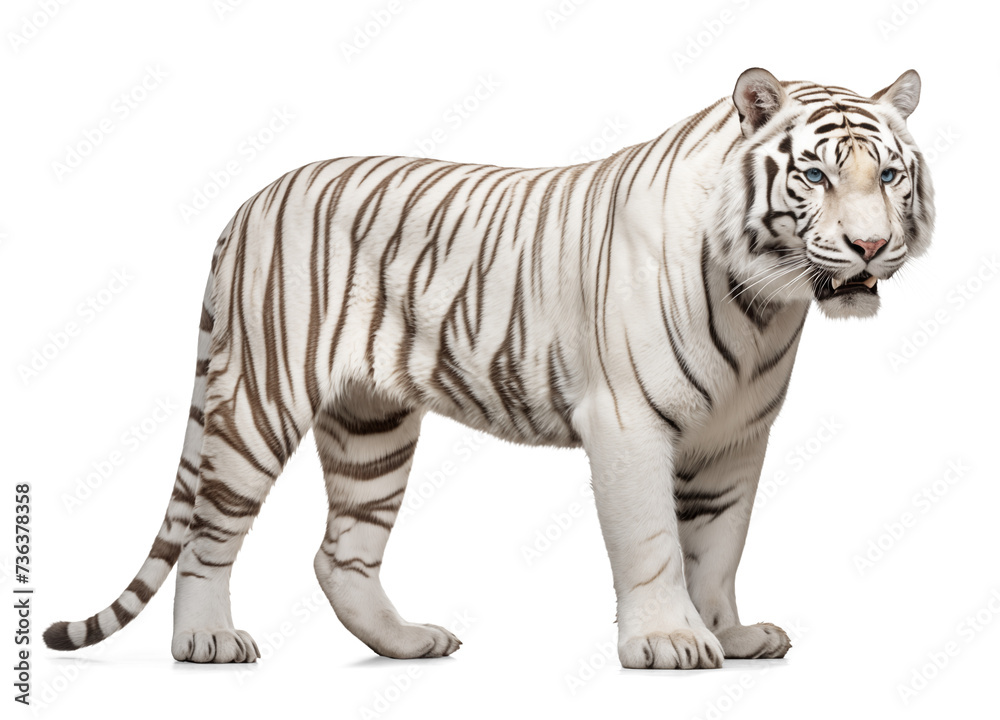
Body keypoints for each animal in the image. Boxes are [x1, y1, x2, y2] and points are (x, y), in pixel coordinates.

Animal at [45, 67, 934, 669]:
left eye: (890, 174)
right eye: (814, 175)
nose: (869, 246)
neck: (765, 306)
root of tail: (249, 201)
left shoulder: (736, 437)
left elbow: (718, 545)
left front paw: (731, 634)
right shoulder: (628, 423)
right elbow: (654, 541)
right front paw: (668, 643)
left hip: (372, 424)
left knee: (341, 554)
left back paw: (406, 642)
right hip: (260, 401)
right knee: (209, 530)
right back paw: (206, 639)